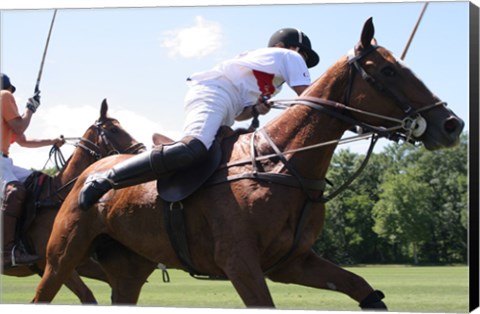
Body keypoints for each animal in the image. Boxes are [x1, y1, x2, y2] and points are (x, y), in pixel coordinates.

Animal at [1, 99, 145, 302]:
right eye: (114, 129)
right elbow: (87, 296)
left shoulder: (78, 261)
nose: (143, 152)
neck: (59, 196)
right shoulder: (52, 263)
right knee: (14, 191)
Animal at [31, 18, 464, 308]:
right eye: (389, 70)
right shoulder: (241, 264)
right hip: (61, 257)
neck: (282, 165)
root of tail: (82, 175)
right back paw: (96, 186)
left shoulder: (292, 262)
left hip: (129, 268)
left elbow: (363, 289)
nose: (451, 124)